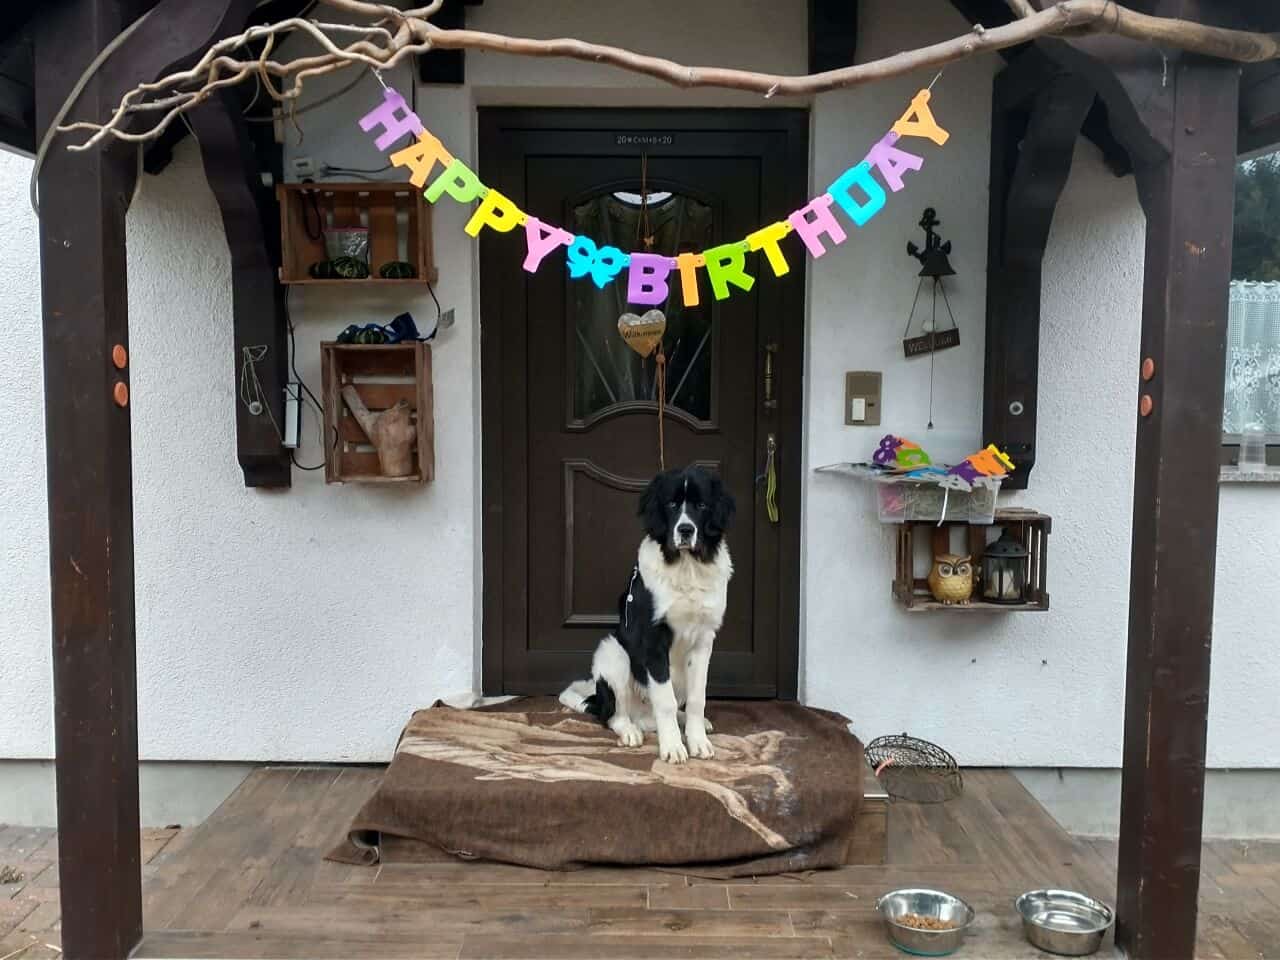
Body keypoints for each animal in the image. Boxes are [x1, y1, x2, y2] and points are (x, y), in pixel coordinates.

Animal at [558, 465, 732, 768]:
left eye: (701, 505)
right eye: (671, 504)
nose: (685, 529)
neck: (686, 566)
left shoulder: (703, 640)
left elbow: (697, 699)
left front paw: (697, 741)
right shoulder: (653, 640)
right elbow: (665, 701)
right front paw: (673, 747)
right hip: (613, 652)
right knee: (614, 715)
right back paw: (629, 730)